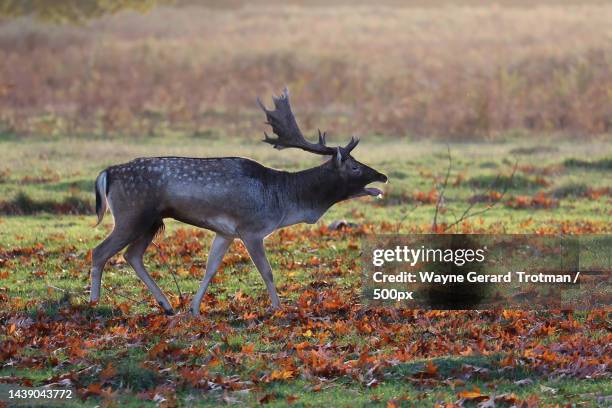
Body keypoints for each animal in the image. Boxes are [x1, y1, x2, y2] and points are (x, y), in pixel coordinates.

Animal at [91, 89, 388, 316]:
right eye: (354, 167)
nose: (382, 176)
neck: (284, 201)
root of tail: (108, 172)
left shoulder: (226, 232)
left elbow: (210, 269)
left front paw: (194, 309)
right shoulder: (251, 228)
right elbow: (267, 271)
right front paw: (278, 308)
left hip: (151, 220)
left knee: (131, 255)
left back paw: (167, 306)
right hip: (132, 214)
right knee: (100, 251)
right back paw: (94, 303)